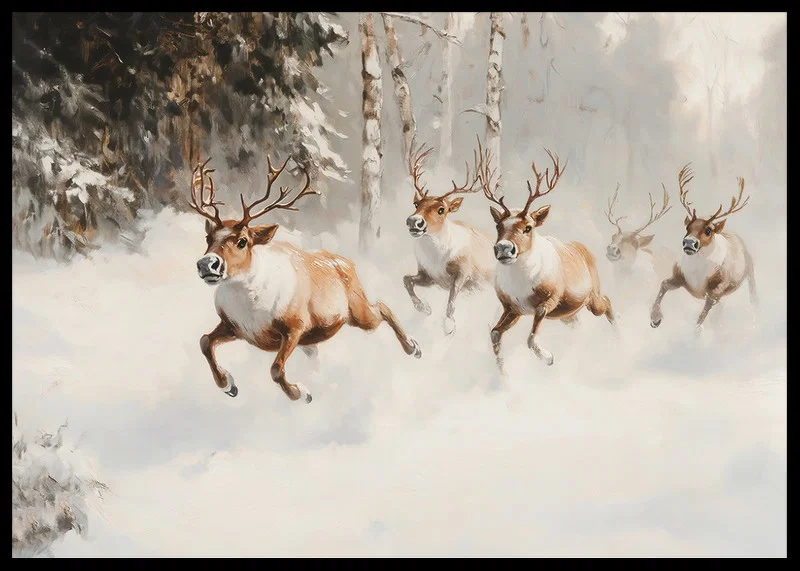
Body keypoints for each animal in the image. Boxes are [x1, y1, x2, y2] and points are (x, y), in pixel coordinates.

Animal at [191, 156, 422, 403]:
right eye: (208, 238)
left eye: (243, 241)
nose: (207, 264)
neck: (250, 308)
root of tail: (348, 263)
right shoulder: (233, 326)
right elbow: (204, 341)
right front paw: (228, 384)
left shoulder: (295, 327)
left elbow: (275, 369)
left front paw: (301, 393)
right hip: (316, 337)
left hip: (358, 311)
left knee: (382, 306)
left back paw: (413, 346)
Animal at [403, 138, 496, 335]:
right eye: (416, 203)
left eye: (441, 209)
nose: (414, 221)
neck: (437, 259)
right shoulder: (428, 275)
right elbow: (406, 280)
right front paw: (424, 308)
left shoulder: (463, 273)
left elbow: (451, 301)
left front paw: (449, 326)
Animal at [480, 149, 617, 369]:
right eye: (498, 226)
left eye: (528, 227)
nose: (504, 248)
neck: (521, 285)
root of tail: (585, 249)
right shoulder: (512, 308)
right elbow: (494, 333)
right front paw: (502, 372)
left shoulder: (549, 301)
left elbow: (531, 338)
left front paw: (548, 357)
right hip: (568, 314)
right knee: (578, 324)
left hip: (591, 298)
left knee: (607, 301)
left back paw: (618, 338)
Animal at [650, 164, 758, 334]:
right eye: (687, 227)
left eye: (708, 230)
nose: (689, 242)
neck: (698, 273)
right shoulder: (680, 278)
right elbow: (663, 284)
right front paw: (655, 319)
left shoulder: (715, 292)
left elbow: (700, 319)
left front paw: (694, 336)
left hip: (750, 272)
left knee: (753, 298)